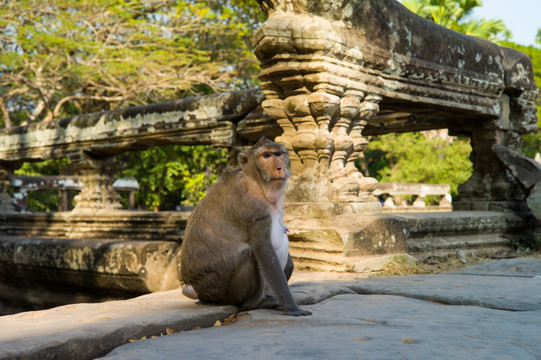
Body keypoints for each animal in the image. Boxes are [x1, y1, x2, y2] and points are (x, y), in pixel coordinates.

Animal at [180, 136, 310, 316]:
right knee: (249, 256)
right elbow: (264, 252)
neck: (256, 184)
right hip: (221, 290)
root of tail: (201, 293)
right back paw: (255, 303)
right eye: (266, 156)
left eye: (278, 154)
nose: (279, 167)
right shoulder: (254, 211)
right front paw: (292, 307)